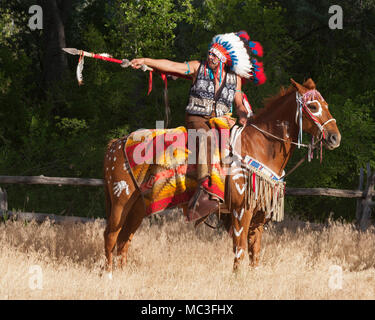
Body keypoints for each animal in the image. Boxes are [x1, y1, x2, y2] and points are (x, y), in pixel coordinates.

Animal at [102, 79, 340, 276]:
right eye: (313, 107)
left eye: (326, 104)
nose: (335, 137)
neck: (259, 145)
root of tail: (116, 144)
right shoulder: (241, 210)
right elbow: (240, 249)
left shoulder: (258, 214)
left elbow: (254, 252)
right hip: (121, 201)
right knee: (111, 236)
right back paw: (110, 275)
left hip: (138, 207)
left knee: (124, 240)